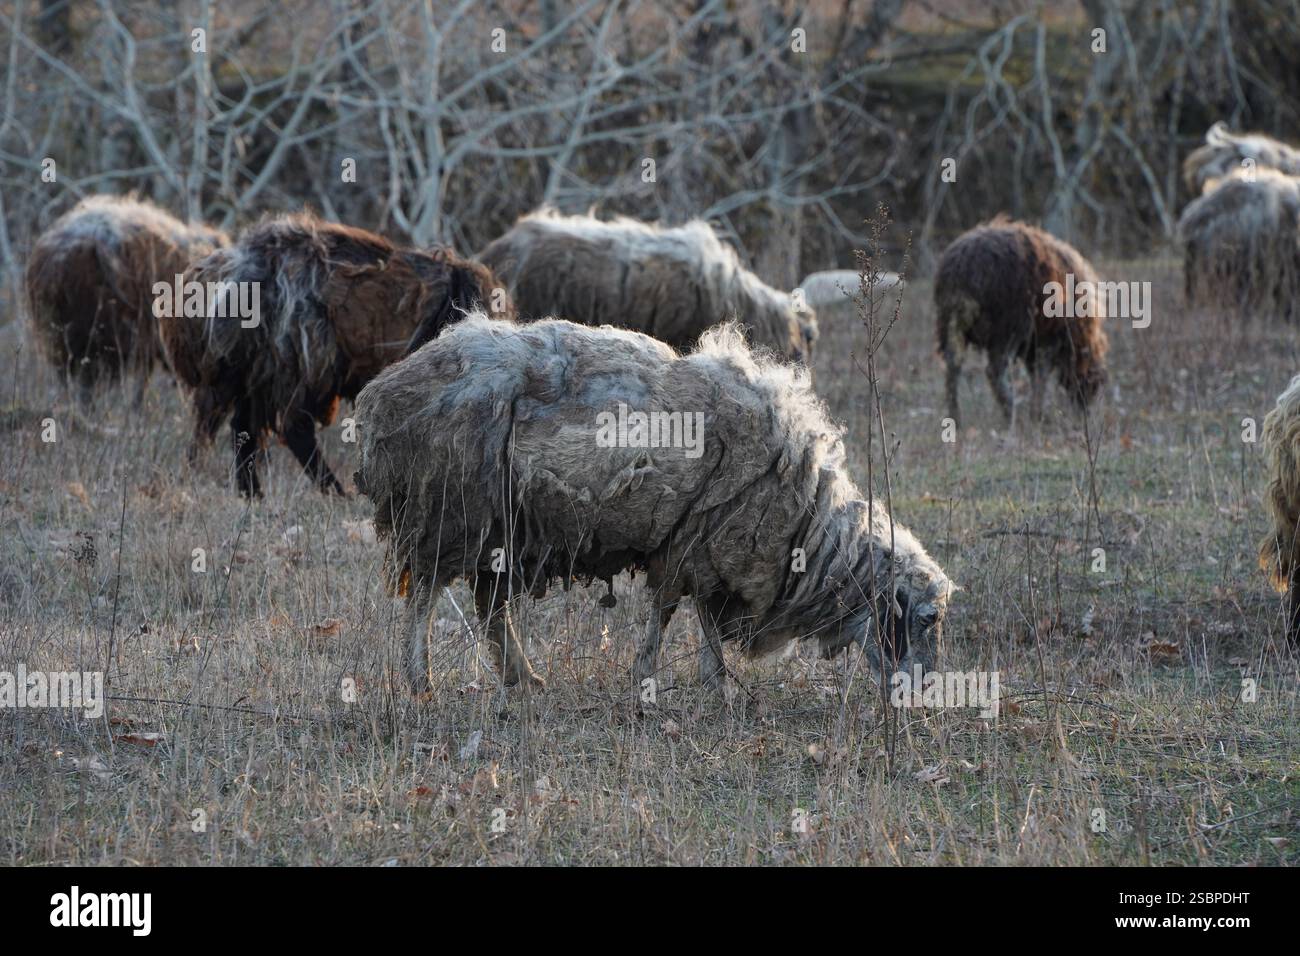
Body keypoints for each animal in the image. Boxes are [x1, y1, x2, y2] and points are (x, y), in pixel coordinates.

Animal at [160, 212, 511, 498]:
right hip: (295, 367)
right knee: (291, 429)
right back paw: (333, 491)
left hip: (254, 372)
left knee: (235, 428)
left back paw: (248, 493)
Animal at [354, 314, 952, 695]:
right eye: (926, 619)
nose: (919, 697)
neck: (806, 524)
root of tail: (380, 397)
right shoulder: (697, 544)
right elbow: (669, 615)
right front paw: (658, 679)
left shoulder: (707, 551)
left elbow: (700, 617)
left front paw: (711, 682)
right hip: (449, 512)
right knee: (425, 597)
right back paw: (420, 680)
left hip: (502, 531)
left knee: (489, 608)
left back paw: (523, 678)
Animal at [934, 218, 1109, 428]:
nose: (1085, 414)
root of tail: (963, 273)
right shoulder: (1047, 340)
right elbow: (1040, 375)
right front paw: (1038, 415)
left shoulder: (1034, 346)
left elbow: (1035, 375)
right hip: (1007, 328)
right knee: (994, 371)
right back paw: (1011, 415)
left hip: (950, 326)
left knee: (953, 367)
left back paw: (956, 419)